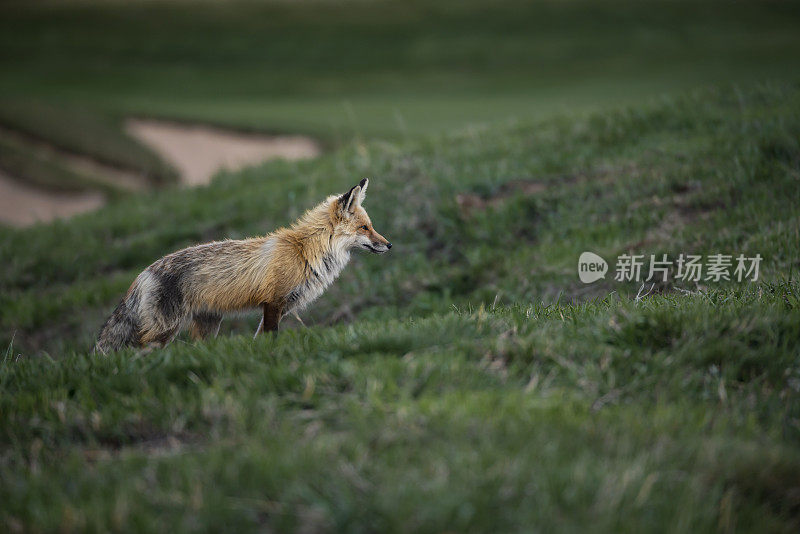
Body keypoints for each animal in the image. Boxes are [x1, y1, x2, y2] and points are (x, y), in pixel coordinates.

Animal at [97, 180, 390, 356]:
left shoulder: (282, 307)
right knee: (139, 351)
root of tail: (143, 273)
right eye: (365, 228)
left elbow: (259, 338)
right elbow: (271, 337)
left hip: (207, 326)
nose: (389, 245)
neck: (305, 251)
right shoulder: (273, 302)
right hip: (163, 331)